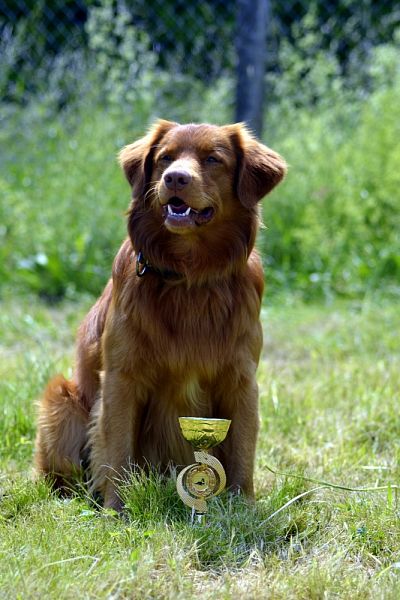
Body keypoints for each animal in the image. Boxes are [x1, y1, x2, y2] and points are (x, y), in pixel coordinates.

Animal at [33, 119, 284, 508]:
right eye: (165, 157)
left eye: (213, 159)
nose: (175, 178)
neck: (189, 277)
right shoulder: (122, 377)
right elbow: (117, 450)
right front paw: (117, 509)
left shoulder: (241, 378)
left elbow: (242, 448)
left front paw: (242, 507)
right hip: (60, 400)